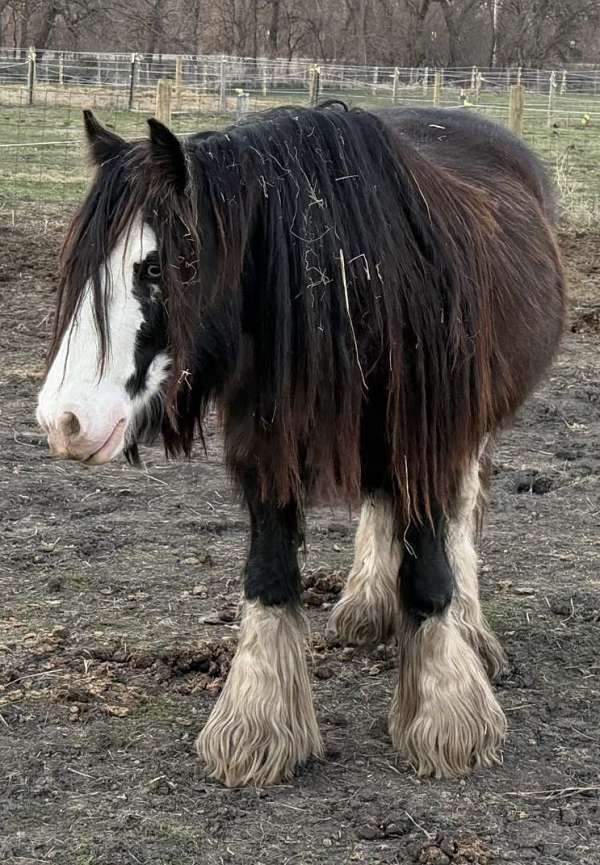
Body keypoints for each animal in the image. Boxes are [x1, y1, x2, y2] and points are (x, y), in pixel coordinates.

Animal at [36, 102, 566, 788]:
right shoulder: (269, 444)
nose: (63, 421)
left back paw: (470, 631)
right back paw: (369, 604)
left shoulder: (425, 442)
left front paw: (446, 719)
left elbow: (430, 573)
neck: (348, 278)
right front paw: (258, 725)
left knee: (459, 513)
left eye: (154, 267)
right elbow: (269, 574)